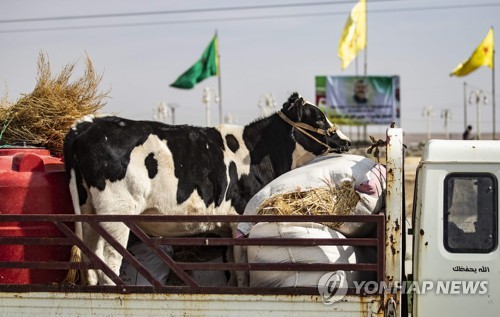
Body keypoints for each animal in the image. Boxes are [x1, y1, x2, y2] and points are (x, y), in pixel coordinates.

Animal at [64, 91, 350, 284]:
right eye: (320, 119)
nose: (347, 142)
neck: (260, 152)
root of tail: (88, 123)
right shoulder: (240, 218)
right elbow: (242, 270)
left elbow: (232, 267)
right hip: (116, 213)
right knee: (110, 258)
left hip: (89, 210)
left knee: (92, 257)